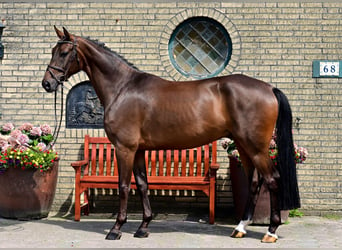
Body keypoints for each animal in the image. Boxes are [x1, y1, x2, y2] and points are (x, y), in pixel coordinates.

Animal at [42, 26, 300, 242]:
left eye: (64, 52)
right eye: (53, 50)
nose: (47, 84)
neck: (122, 88)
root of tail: (269, 88)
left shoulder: (124, 148)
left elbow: (124, 186)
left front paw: (116, 229)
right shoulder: (139, 150)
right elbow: (142, 184)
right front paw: (143, 227)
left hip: (256, 147)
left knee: (272, 179)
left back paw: (270, 231)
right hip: (244, 146)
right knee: (255, 181)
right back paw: (240, 228)